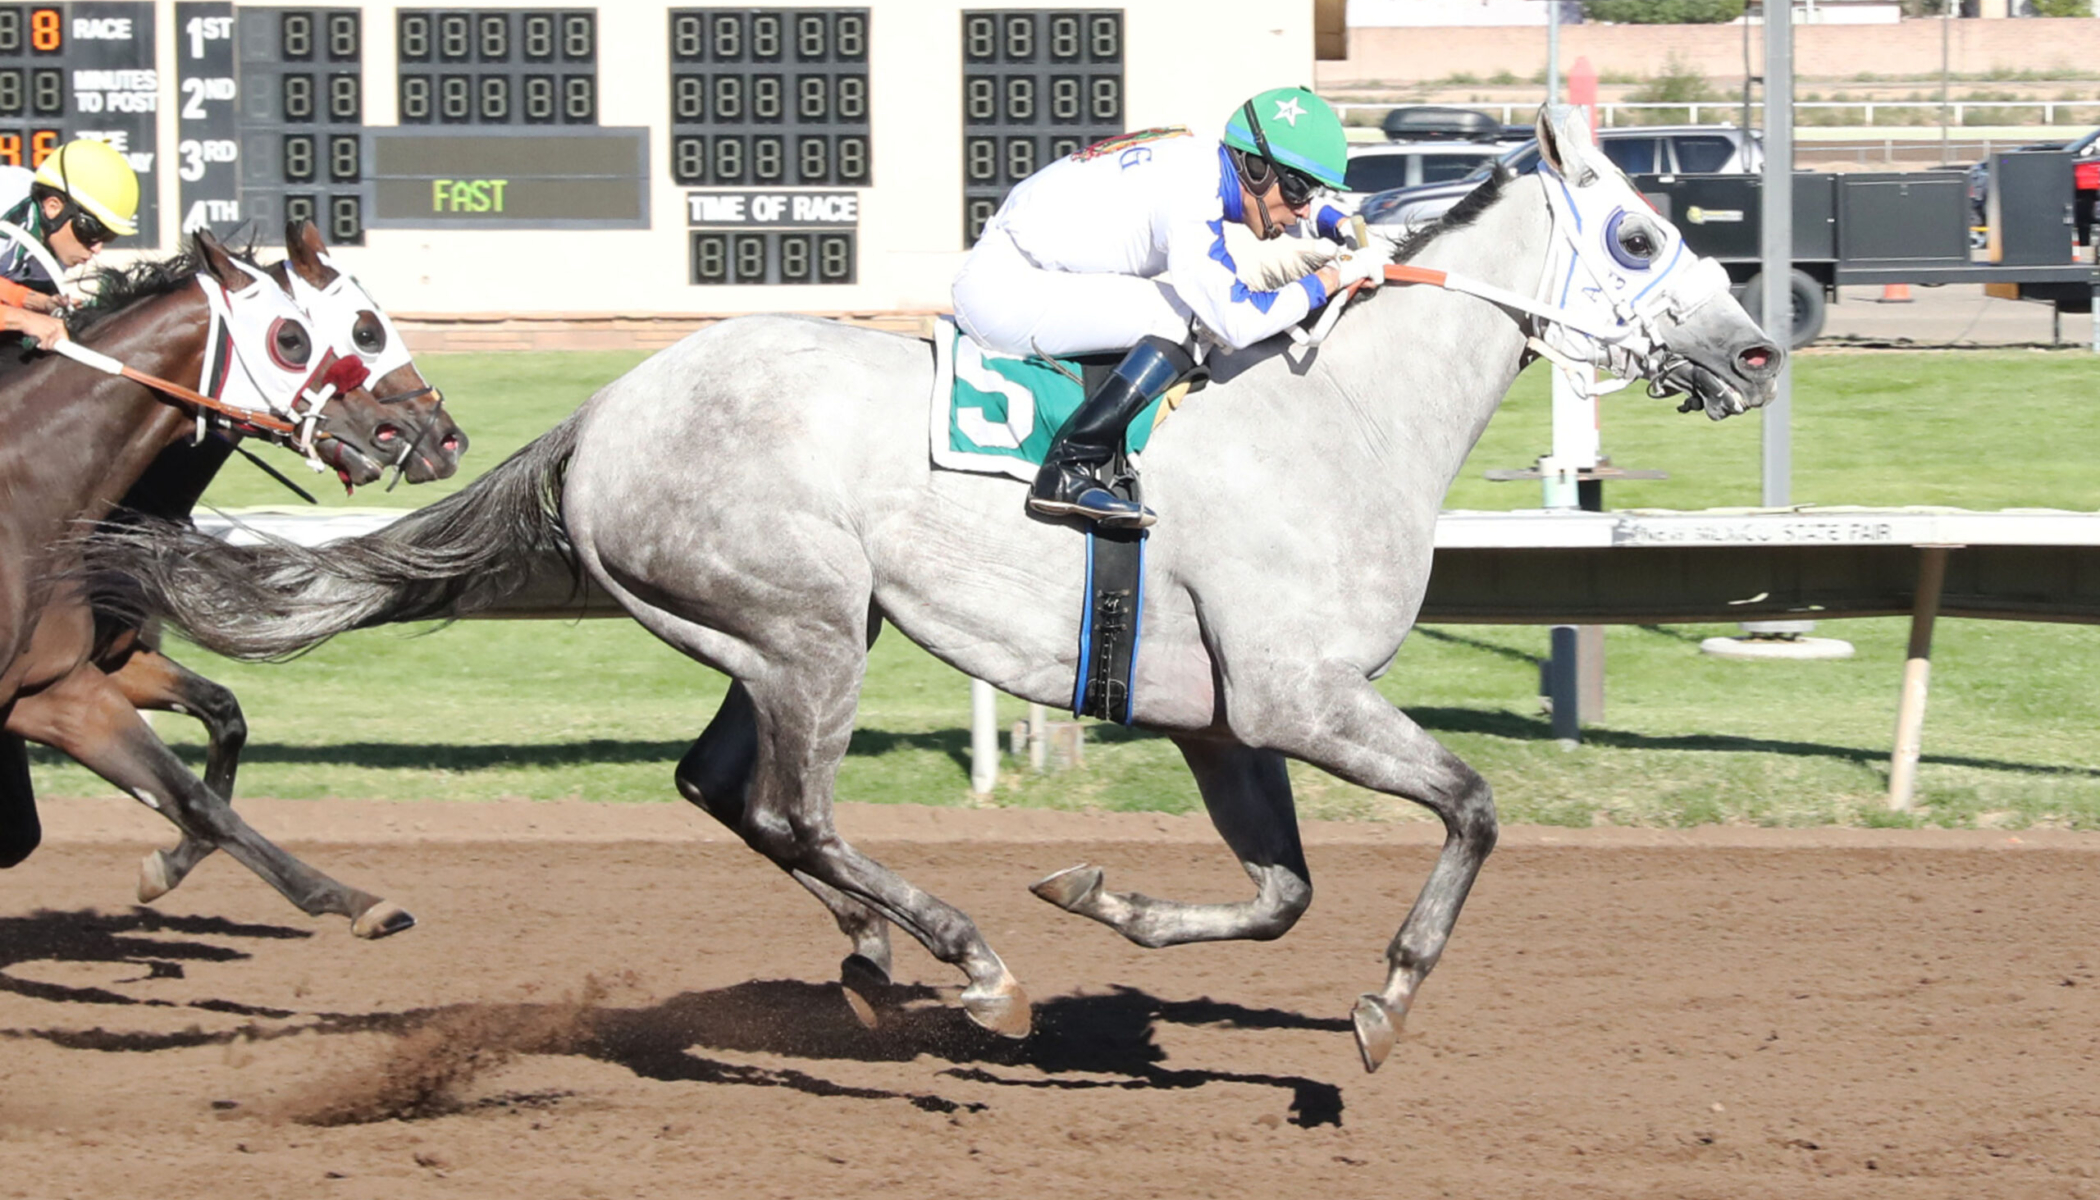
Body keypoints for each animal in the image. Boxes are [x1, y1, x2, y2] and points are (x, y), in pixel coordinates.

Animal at [94, 112, 1772, 1071]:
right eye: (1638, 232)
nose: (1759, 350)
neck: (1339, 418)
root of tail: (604, 414)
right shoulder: (1303, 697)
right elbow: (1474, 808)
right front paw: (1386, 1002)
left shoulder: (1224, 721)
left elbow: (1282, 891)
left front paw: (1103, 896)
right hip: (807, 629)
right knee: (795, 808)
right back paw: (965, 967)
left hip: (759, 634)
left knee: (726, 794)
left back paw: (873, 960)